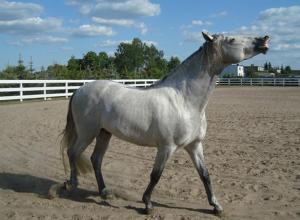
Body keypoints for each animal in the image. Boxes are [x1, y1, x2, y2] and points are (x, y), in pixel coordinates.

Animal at [58, 32, 270, 215]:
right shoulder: (167, 147)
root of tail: (79, 90)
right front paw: (147, 204)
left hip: (104, 133)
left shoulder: (195, 146)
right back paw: (71, 183)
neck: (184, 101)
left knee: (96, 159)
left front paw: (216, 206)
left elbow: (205, 175)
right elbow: (156, 175)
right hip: (88, 132)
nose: (264, 40)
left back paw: (104, 192)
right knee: (73, 152)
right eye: (232, 39)